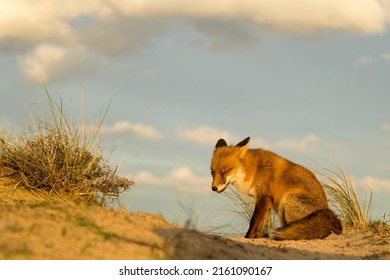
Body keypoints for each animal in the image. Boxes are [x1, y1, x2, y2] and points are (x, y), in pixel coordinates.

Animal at [210, 137, 342, 240]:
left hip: (288, 199)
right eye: (212, 172)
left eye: (225, 171)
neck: (253, 170)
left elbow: (253, 222)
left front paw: (248, 238)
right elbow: (259, 225)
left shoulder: (264, 197)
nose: (214, 188)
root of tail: (328, 214)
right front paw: (256, 237)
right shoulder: (266, 202)